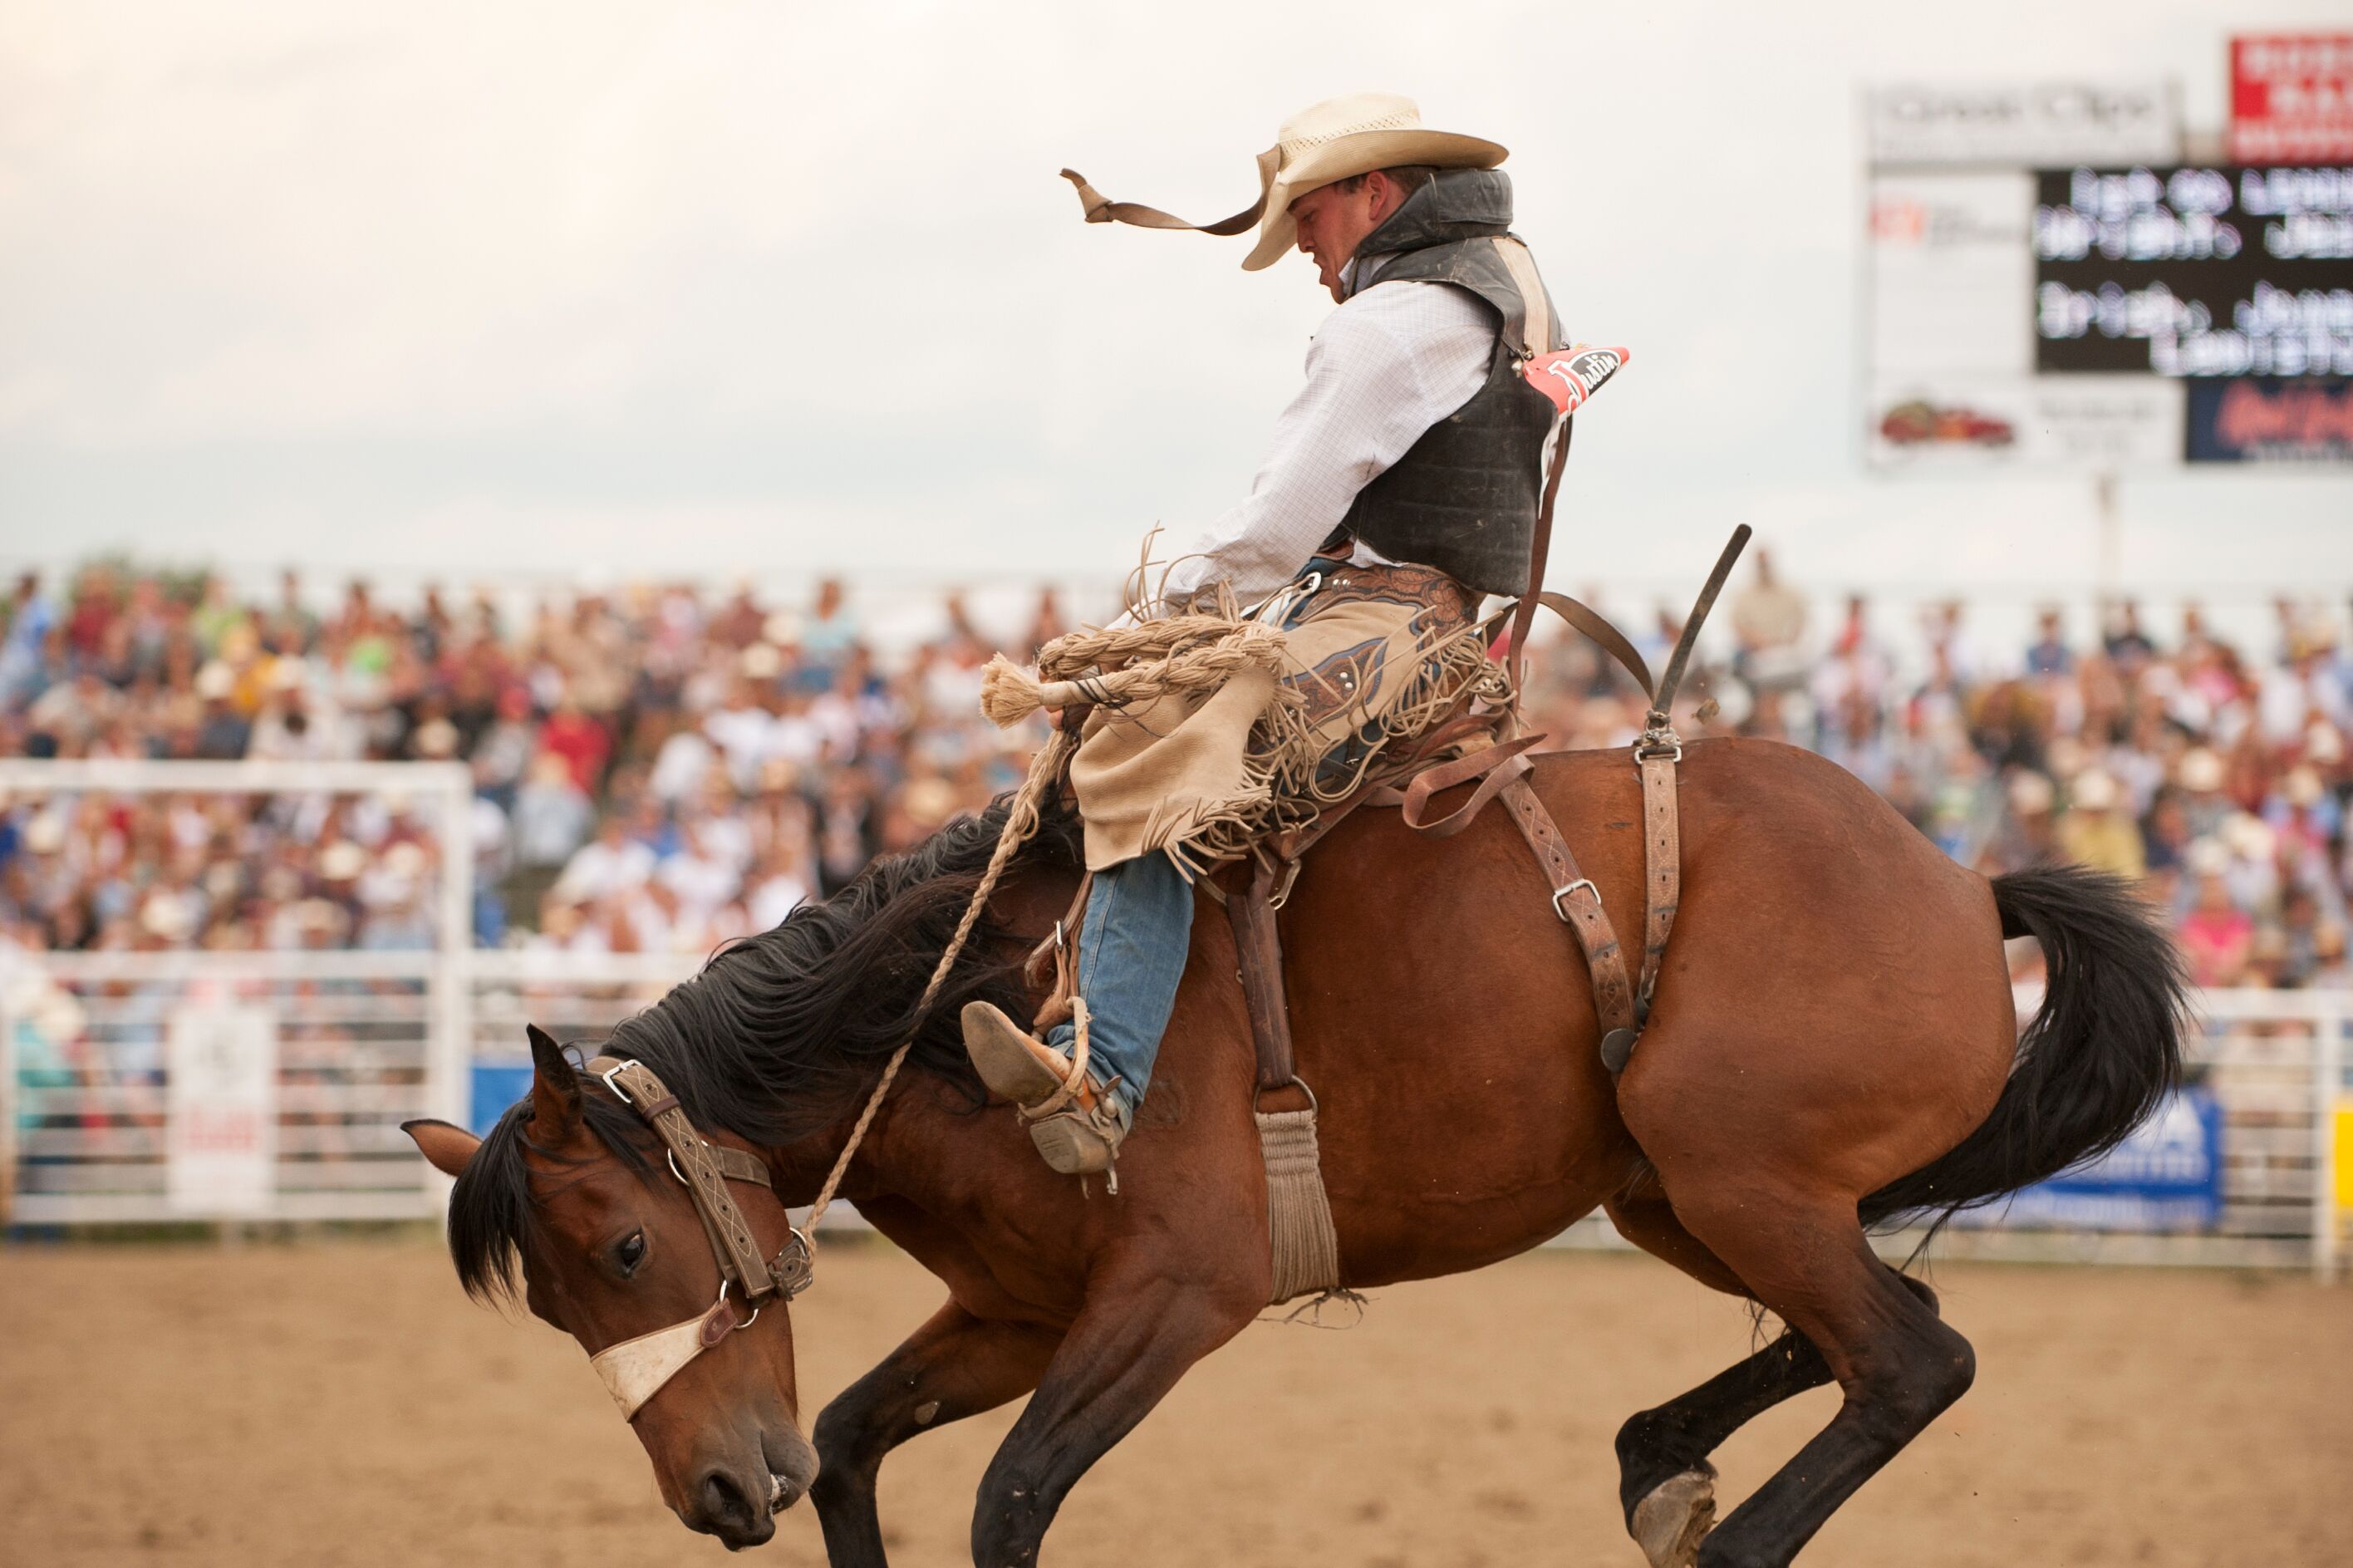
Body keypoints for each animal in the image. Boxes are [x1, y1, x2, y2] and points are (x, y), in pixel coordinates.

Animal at [395, 735, 2174, 1563]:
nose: (708, 1487)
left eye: (630, 1246)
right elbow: (841, 1442)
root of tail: (1957, 879)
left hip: (1738, 1173)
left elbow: (1009, 1497)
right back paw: (1659, 1461)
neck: (964, 1006)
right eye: (555, 1301)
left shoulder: (1179, 1294)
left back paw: (1717, 1526)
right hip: (1684, 1192)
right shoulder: (1014, 1310)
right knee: (1885, 1332)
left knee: (1909, 1359)